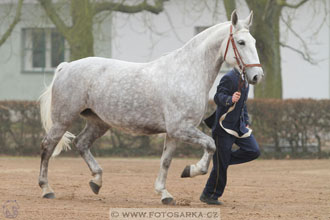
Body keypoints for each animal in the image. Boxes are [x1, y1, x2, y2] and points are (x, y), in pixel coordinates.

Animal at [38, 9, 262, 204]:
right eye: (241, 42)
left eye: (254, 41)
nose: (257, 76)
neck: (187, 72)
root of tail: (65, 66)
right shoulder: (180, 129)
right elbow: (211, 145)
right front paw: (190, 170)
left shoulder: (173, 133)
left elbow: (166, 161)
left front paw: (164, 193)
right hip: (63, 119)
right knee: (48, 146)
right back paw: (47, 189)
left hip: (98, 122)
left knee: (82, 143)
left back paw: (96, 181)